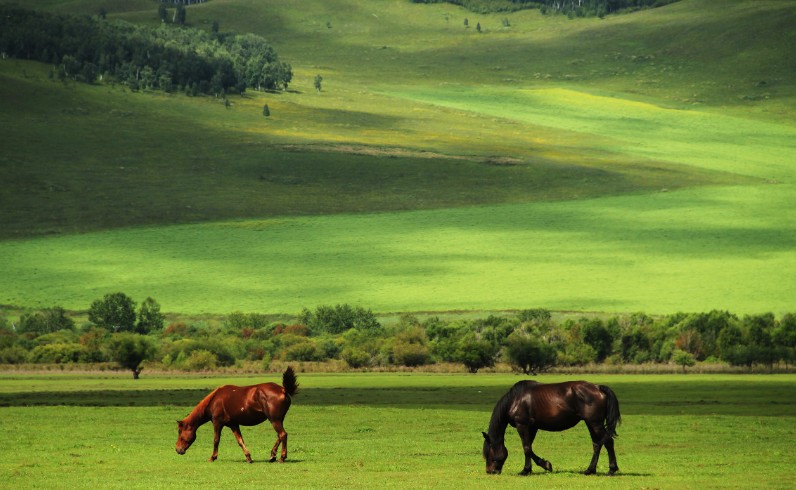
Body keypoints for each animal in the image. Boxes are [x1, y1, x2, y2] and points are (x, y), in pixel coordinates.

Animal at [482, 378, 620, 478]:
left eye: (488, 453)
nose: (490, 471)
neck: (516, 399)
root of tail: (598, 388)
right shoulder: (532, 427)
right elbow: (529, 448)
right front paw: (542, 465)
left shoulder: (522, 425)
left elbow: (526, 448)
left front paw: (528, 470)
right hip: (591, 423)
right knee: (597, 444)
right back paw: (590, 470)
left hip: (595, 423)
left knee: (608, 442)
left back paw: (611, 470)